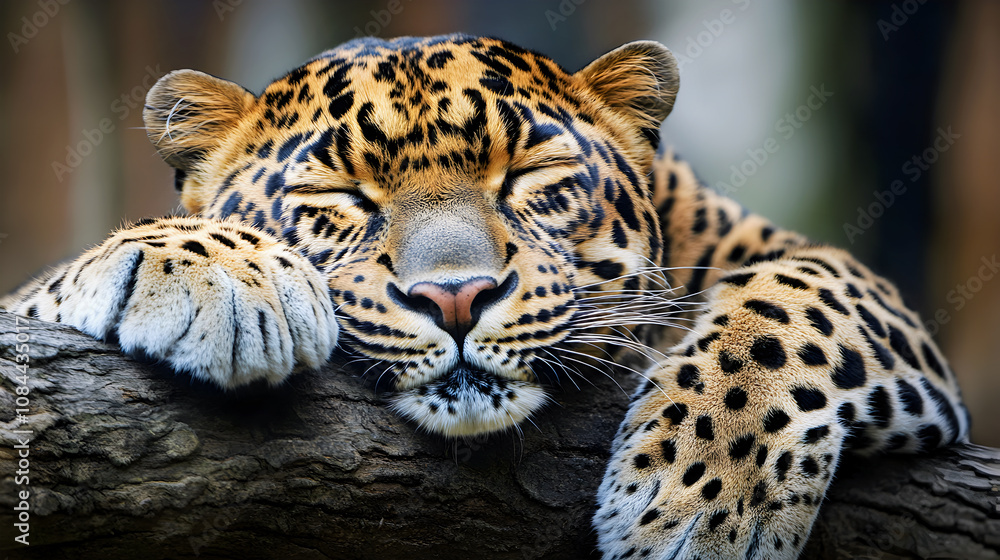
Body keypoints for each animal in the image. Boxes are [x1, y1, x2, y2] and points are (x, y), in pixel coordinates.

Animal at [0, 34, 969, 559]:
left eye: (529, 177)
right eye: (340, 198)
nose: (458, 297)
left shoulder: (808, 271)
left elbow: (803, 303)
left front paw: (706, 502)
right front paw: (222, 273)